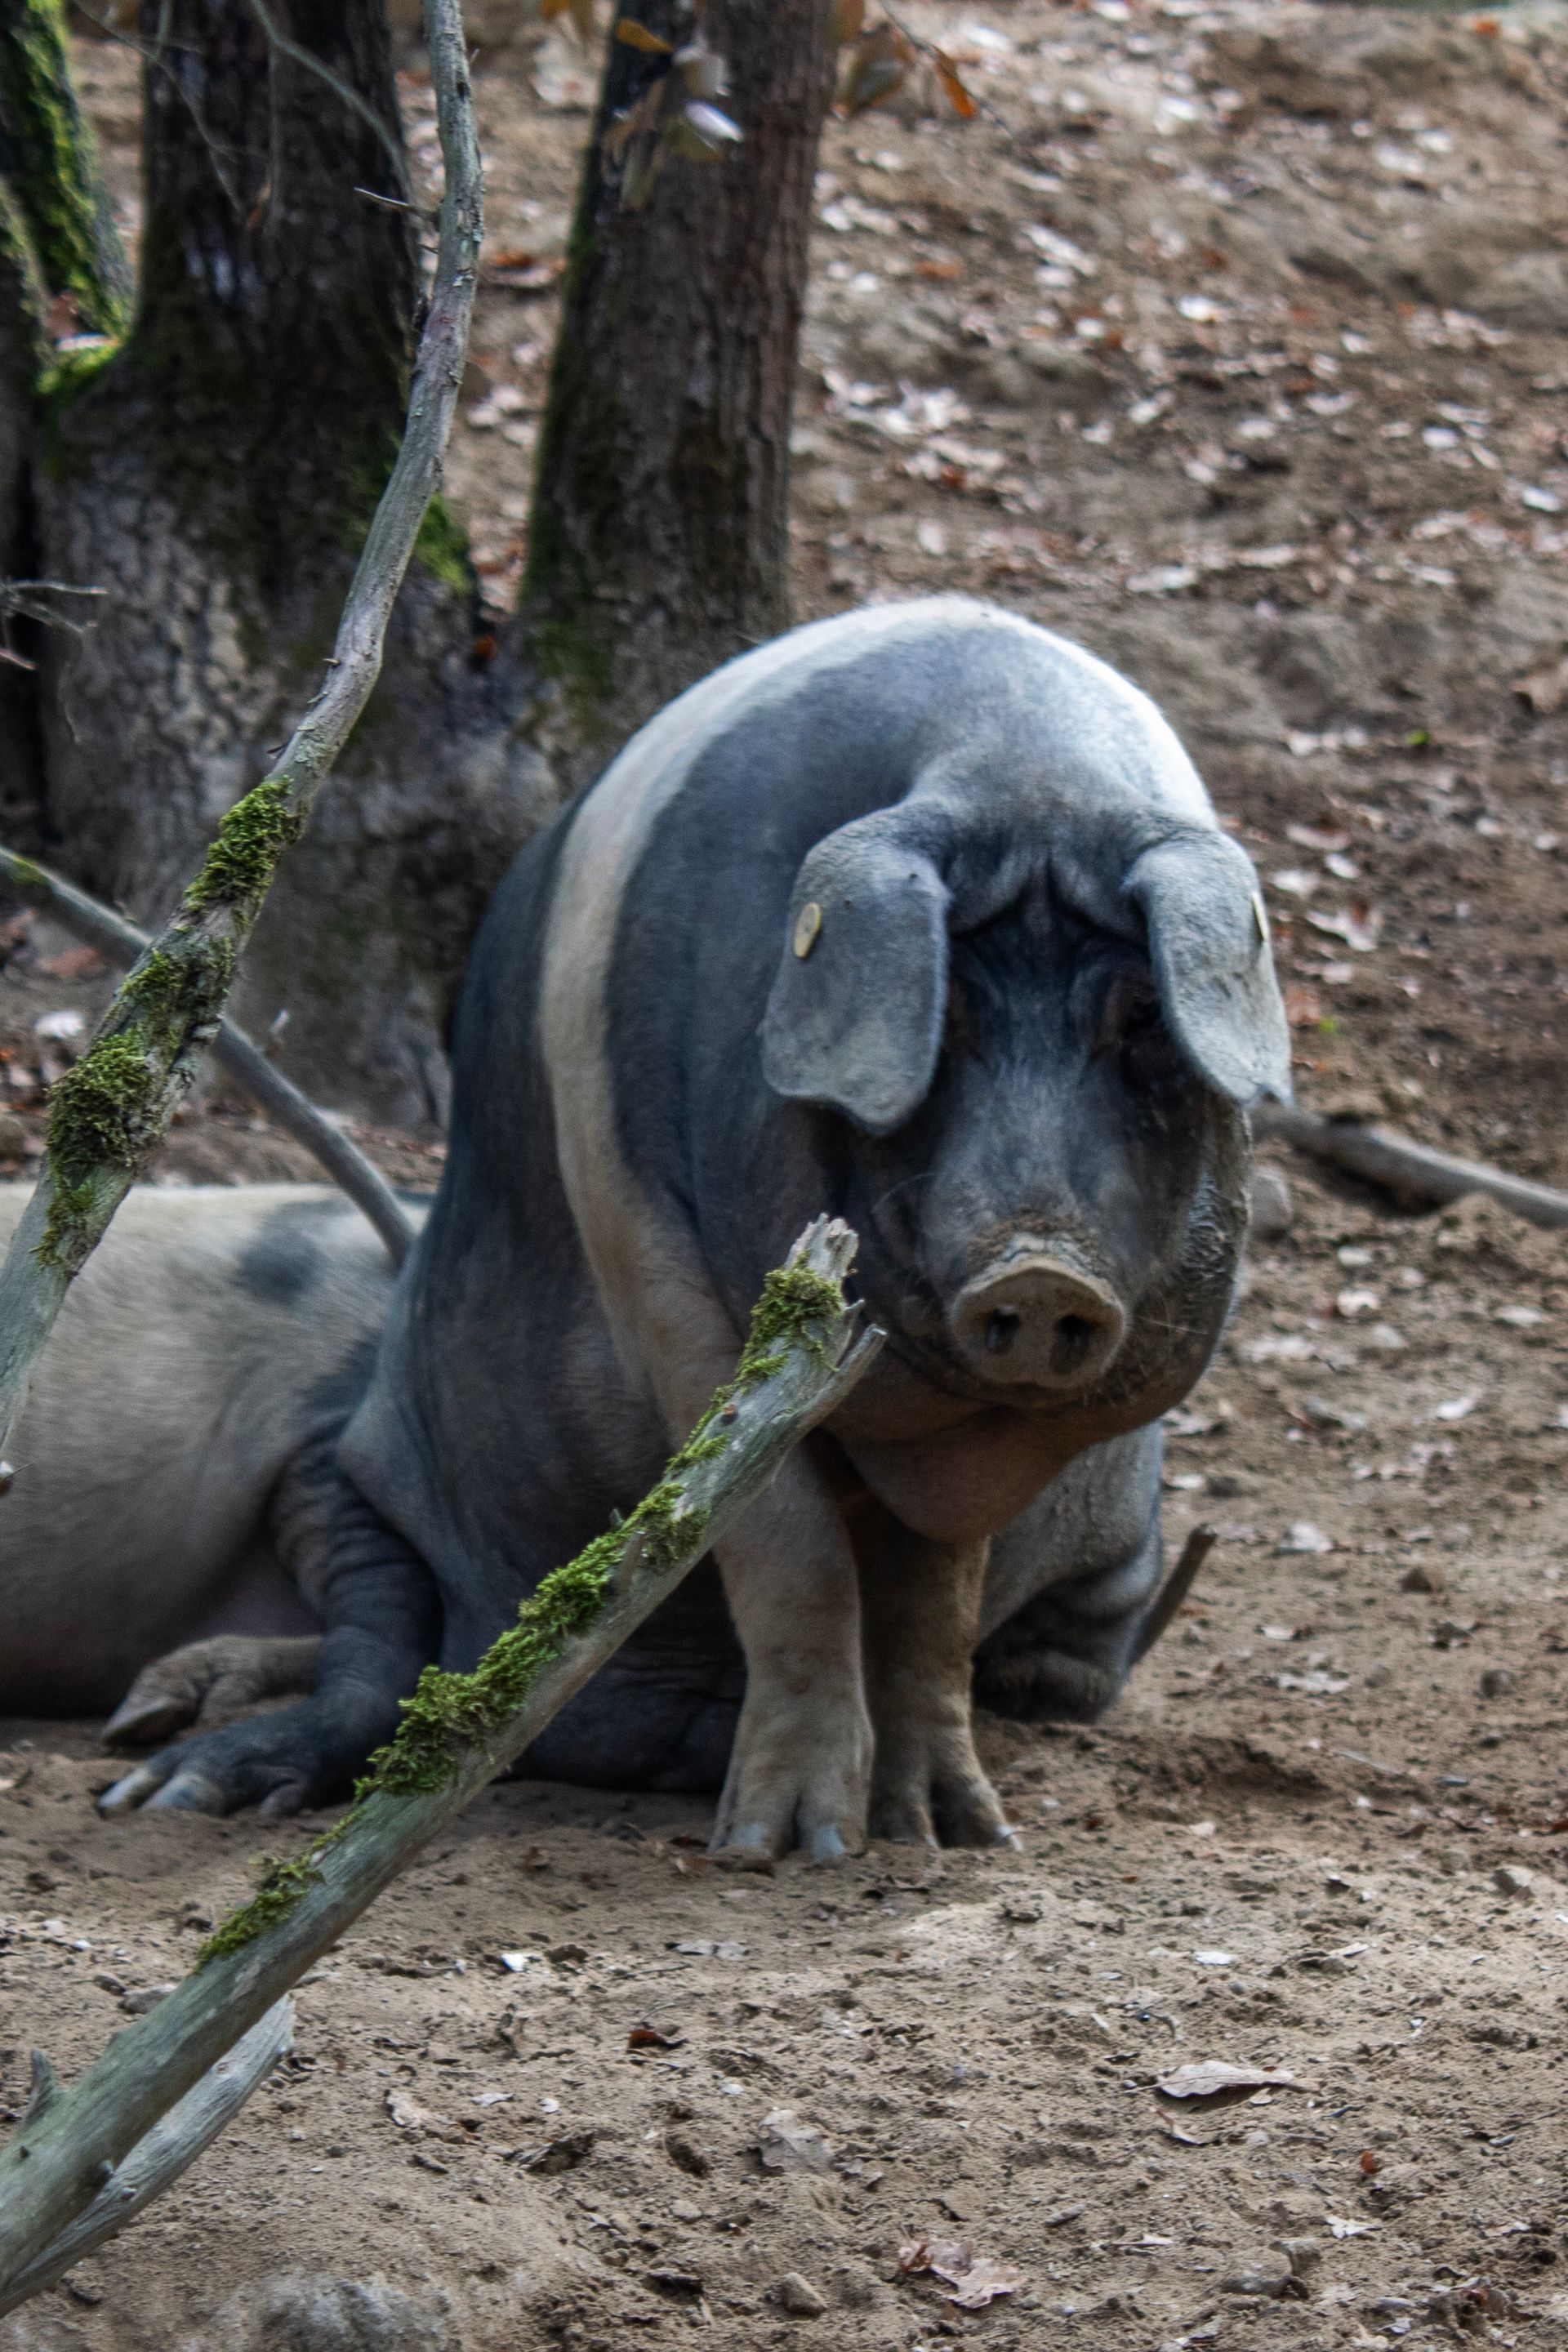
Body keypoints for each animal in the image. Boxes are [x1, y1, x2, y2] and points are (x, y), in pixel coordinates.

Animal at [91, 597, 1289, 1852]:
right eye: (946, 1013)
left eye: (1143, 1019)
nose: (1045, 1271)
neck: (1013, 764)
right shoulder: (640, 1237)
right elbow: (779, 1535)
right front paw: (784, 1849)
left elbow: (935, 1600)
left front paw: (946, 1836)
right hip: (359, 1470)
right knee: (379, 1669)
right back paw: (164, 1782)